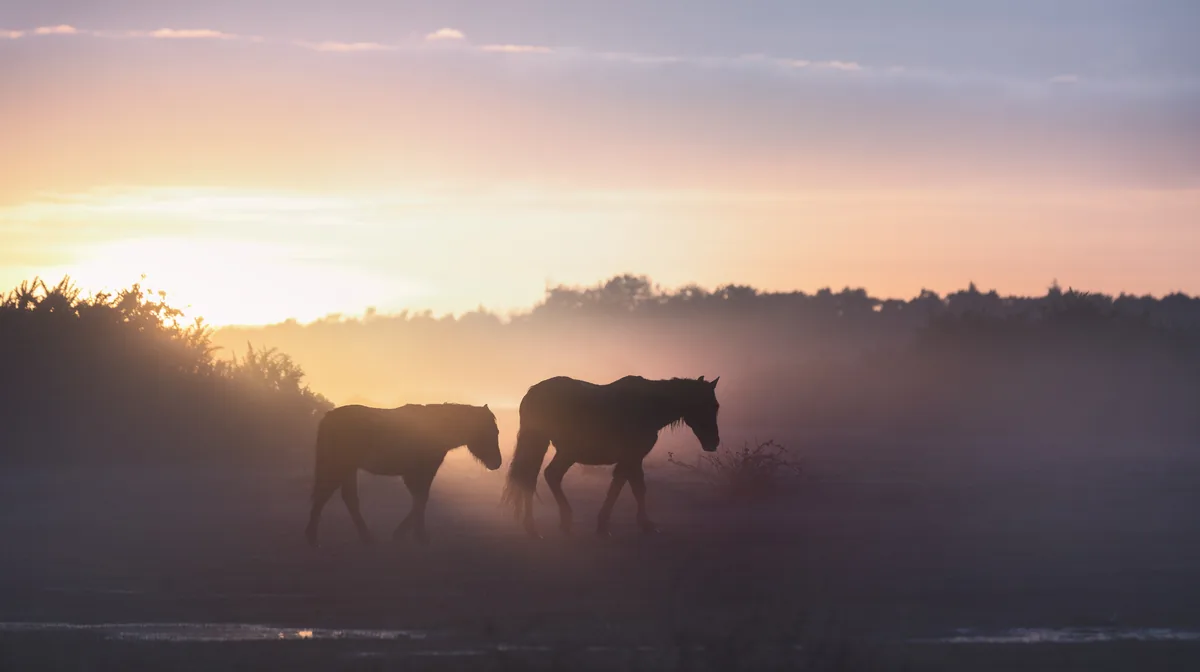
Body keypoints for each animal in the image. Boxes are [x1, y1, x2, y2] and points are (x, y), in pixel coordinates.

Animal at [305, 402, 502, 547]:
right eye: (491, 431)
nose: (497, 463)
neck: (433, 428)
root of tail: (329, 417)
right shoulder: (420, 472)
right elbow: (421, 500)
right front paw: (416, 535)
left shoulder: (416, 473)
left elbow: (419, 500)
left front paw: (408, 534)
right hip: (340, 467)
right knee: (326, 496)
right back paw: (314, 538)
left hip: (348, 469)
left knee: (347, 499)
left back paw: (364, 537)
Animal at [502, 375, 720, 538]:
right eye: (709, 405)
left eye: (716, 405)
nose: (713, 443)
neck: (648, 406)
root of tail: (532, 393)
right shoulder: (631, 457)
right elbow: (629, 488)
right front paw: (633, 524)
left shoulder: (631, 459)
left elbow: (628, 487)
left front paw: (624, 523)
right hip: (554, 447)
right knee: (537, 477)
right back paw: (542, 525)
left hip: (561, 450)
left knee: (543, 477)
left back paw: (554, 523)